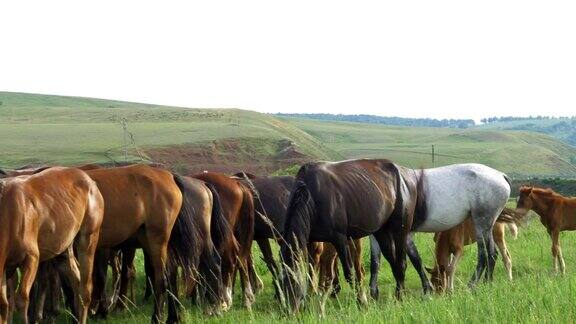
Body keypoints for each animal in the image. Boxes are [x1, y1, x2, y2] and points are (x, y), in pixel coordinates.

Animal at [0, 167, 103, 324]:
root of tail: (89, 180)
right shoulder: (5, 267)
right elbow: (4, 305)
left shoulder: (31, 259)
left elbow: (22, 300)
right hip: (63, 248)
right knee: (76, 280)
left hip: (88, 238)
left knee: (85, 289)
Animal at [192, 173, 255, 310]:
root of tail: (237, 184)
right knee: (242, 259)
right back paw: (246, 298)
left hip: (226, 234)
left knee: (232, 257)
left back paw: (225, 298)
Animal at [368, 163, 508, 298]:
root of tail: (501, 175)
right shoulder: (376, 236)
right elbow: (375, 263)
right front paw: (374, 295)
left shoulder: (405, 235)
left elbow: (415, 260)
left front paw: (425, 292)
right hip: (487, 227)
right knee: (492, 253)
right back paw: (487, 283)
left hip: (481, 225)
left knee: (484, 255)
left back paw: (472, 286)